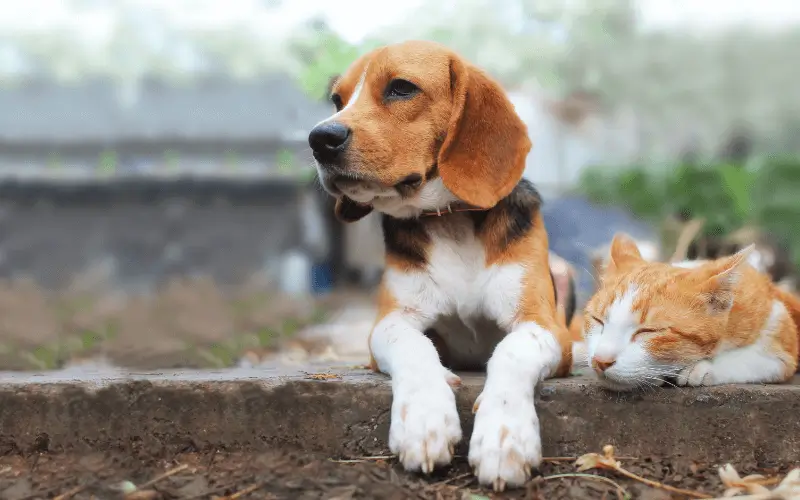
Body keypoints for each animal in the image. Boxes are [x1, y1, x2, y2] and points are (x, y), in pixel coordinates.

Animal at [306, 40, 576, 492]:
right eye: (337, 100)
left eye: (401, 87)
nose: (319, 138)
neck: (449, 219)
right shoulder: (391, 321)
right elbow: (414, 347)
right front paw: (424, 420)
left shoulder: (544, 326)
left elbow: (511, 351)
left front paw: (504, 437)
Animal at [580, 232, 800, 392]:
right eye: (597, 320)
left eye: (648, 331)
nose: (600, 361)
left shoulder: (780, 330)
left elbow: (755, 358)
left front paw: (702, 367)